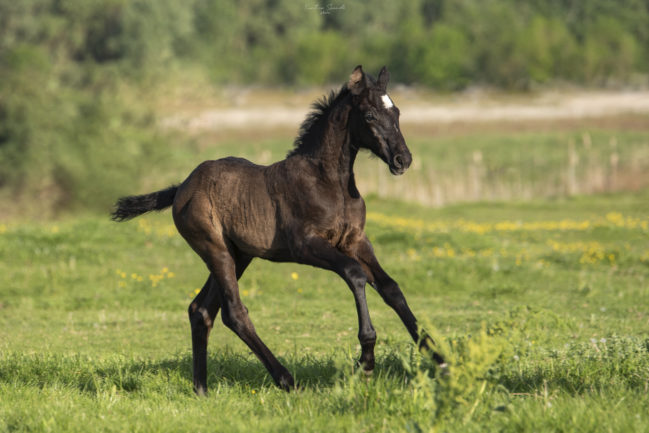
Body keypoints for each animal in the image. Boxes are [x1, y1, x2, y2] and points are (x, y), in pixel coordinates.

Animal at [112, 66, 446, 394]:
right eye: (370, 116)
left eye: (397, 112)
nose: (403, 160)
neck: (330, 182)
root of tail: (182, 186)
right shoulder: (306, 245)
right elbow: (355, 274)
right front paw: (366, 359)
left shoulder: (356, 241)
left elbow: (391, 288)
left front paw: (439, 358)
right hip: (215, 249)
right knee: (234, 313)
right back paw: (288, 381)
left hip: (239, 255)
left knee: (200, 310)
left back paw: (202, 390)